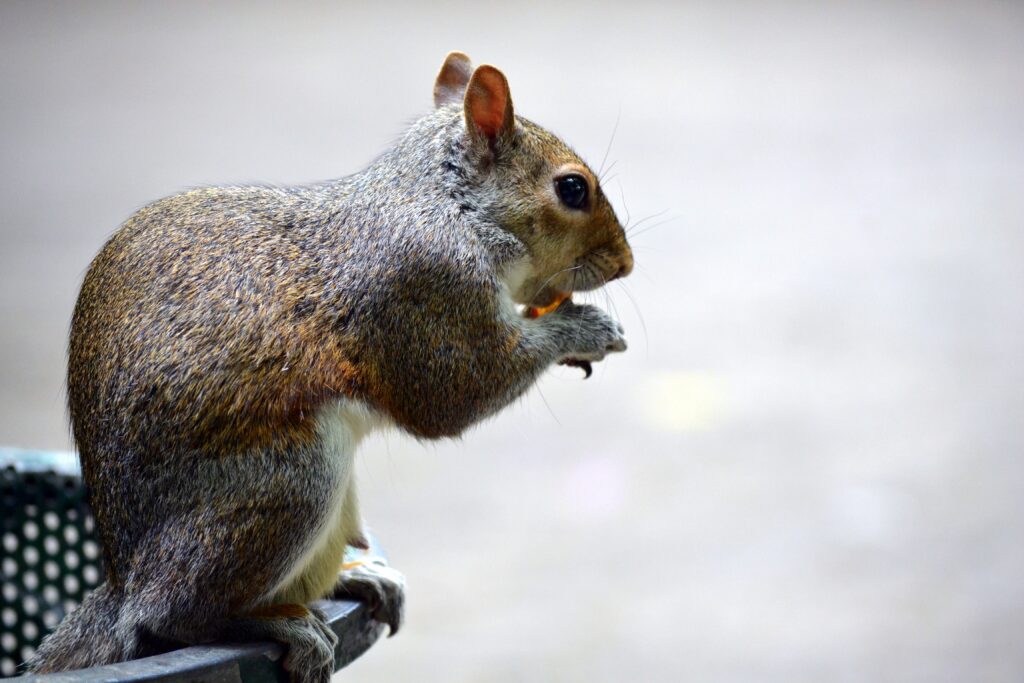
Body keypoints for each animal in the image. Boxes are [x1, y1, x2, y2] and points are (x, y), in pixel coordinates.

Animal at [28, 52, 633, 682]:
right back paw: (276, 624)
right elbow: (455, 393)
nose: (625, 263)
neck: (452, 207)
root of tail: (126, 581)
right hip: (291, 478)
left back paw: (355, 578)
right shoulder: (427, 290)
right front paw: (585, 330)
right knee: (169, 619)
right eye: (571, 188)